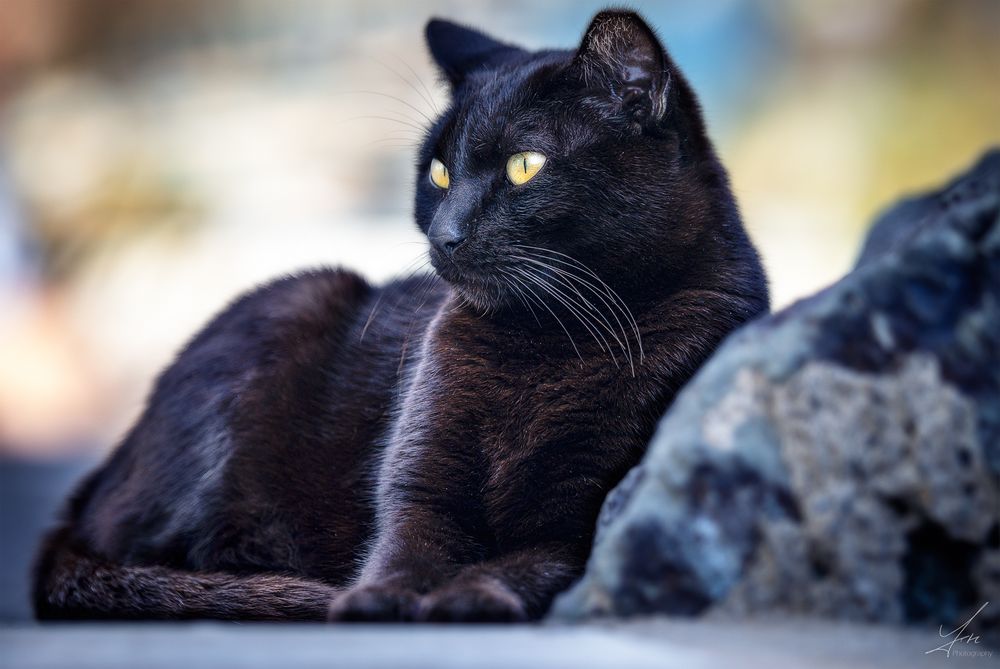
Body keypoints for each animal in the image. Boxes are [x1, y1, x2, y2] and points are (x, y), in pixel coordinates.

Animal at [31, 9, 764, 620]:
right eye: (438, 173)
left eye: (525, 166)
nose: (444, 233)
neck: (543, 341)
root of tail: (98, 478)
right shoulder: (417, 487)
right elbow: (405, 549)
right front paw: (374, 598)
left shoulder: (588, 514)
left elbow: (528, 562)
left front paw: (469, 595)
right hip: (297, 300)